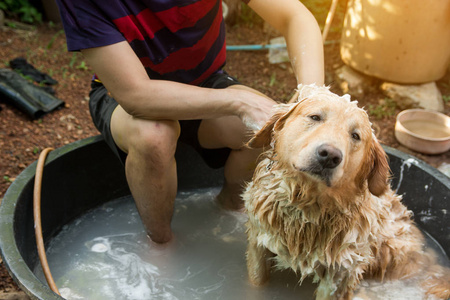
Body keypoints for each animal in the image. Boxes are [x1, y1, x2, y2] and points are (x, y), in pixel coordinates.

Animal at [243, 84, 450, 300]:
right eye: (315, 117)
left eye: (355, 135)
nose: (329, 155)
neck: (308, 208)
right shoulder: (258, 242)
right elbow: (256, 281)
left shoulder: (340, 273)